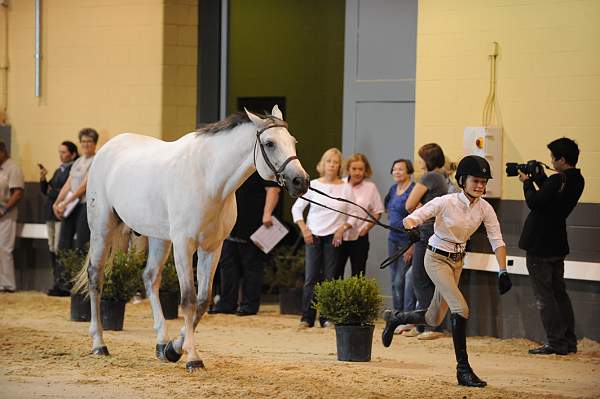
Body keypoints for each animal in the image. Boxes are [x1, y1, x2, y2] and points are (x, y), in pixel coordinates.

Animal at [78, 105, 310, 372]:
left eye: (293, 141)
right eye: (270, 143)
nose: (301, 181)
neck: (208, 179)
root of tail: (106, 149)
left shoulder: (212, 248)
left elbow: (202, 300)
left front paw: (174, 349)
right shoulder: (184, 246)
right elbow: (188, 299)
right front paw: (193, 358)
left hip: (158, 238)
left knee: (150, 278)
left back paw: (161, 343)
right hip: (102, 229)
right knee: (96, 277)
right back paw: (99, 343)